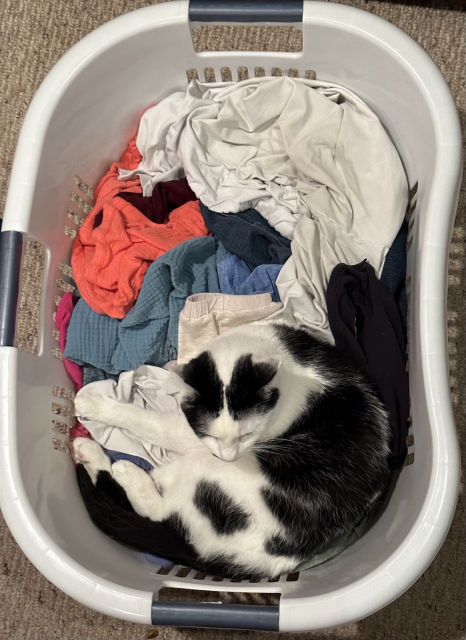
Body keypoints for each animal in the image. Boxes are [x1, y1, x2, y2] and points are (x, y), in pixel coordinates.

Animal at [73, 322, 394, 576]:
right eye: (213, 436)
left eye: (248, 434)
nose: (227, 457)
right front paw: (171, 369)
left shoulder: (197, 438)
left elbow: (154, 423)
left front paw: (93, 405)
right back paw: (91, 453)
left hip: (211, 474)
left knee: (159, 510)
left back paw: (122, 468)